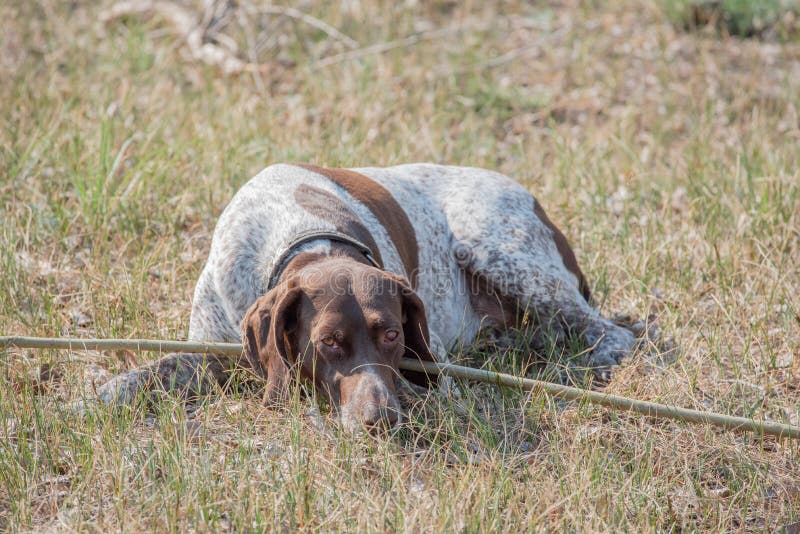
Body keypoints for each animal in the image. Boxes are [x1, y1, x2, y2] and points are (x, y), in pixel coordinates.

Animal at [94, 164, 636, 436]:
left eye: (392, 334)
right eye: (329, 342)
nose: (380, 420)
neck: (302, 234)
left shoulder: (428, 367)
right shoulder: (212, 350)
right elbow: (149, 372)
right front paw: (101, 396)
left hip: (501, 250)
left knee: (608, 330)